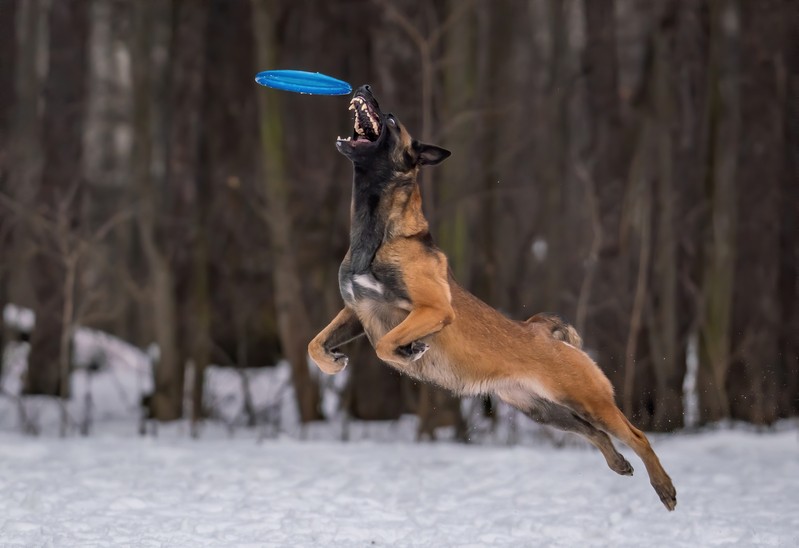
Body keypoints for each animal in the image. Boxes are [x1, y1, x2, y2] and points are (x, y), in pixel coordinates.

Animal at [310, 84, 680, 510]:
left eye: (391, 121)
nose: (366, 88)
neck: (377, 233)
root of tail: (541, 331)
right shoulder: (357, 309)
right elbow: (315, 345)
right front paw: (333, 363)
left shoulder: (434, 309)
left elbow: (385, 345)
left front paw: (409, 352)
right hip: (545, 411)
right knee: (596, 434)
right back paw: (619, 464)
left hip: (590, 400)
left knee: (637, 435)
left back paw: (664, 487)